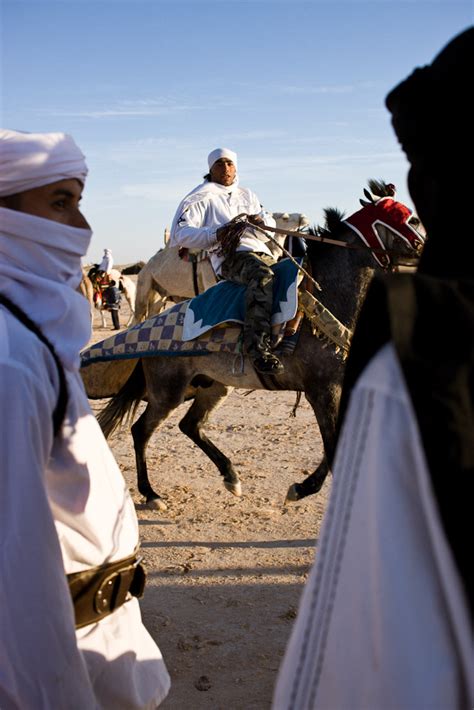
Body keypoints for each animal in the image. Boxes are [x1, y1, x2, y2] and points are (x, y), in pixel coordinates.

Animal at [133, 211, 312, 322]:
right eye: (286, 217)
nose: (304, 217)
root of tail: (146, 266)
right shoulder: (209, 282)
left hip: (160, 294)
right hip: (144, 283)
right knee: (138, 315)